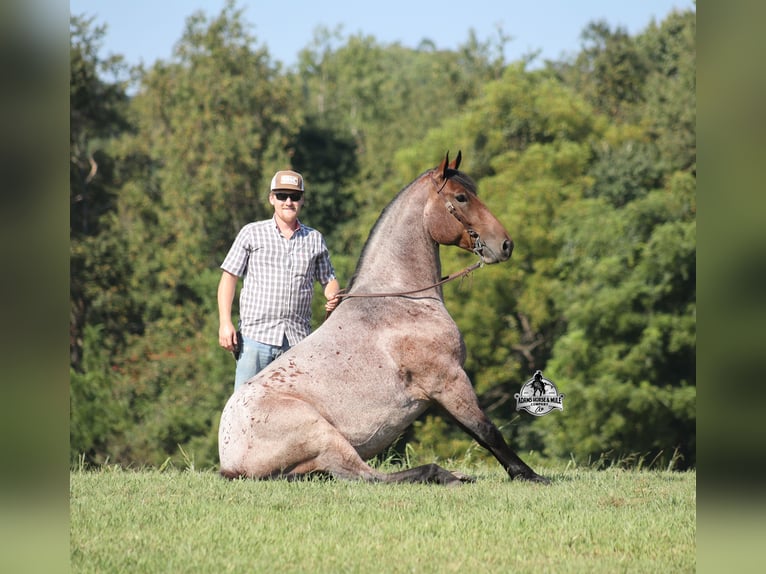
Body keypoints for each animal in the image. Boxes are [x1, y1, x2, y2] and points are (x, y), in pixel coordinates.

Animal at [218, 151, 548, 485]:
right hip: (325, 437)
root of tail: (229, 460)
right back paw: (443, 474)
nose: (505, 245)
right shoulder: (449, 380)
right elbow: (486, 431)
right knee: (370, 476)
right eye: (461, 197)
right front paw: (531, 476)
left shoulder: (442, 391)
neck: (401, 298)